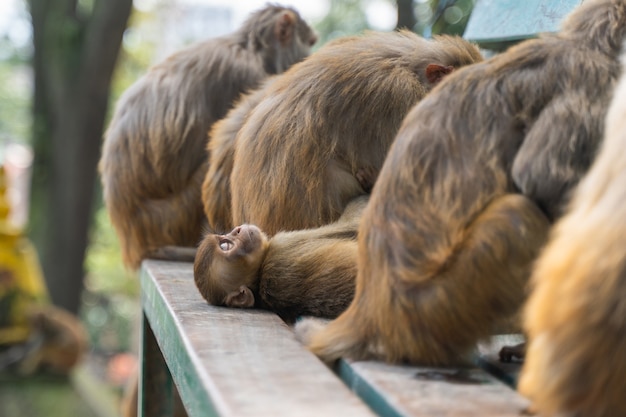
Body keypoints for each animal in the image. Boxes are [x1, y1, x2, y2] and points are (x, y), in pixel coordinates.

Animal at [99, 4, 314, 268]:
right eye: (309, 43)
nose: (308, 57)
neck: (247, 47)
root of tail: (132, 243)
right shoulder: (244, 75)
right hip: (175, 218)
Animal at [193, 196, 364, 322]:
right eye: (226, 246)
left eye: (225, 237)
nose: (238, 229)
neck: (261, 274)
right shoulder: (283, 245)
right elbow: (353, 225)